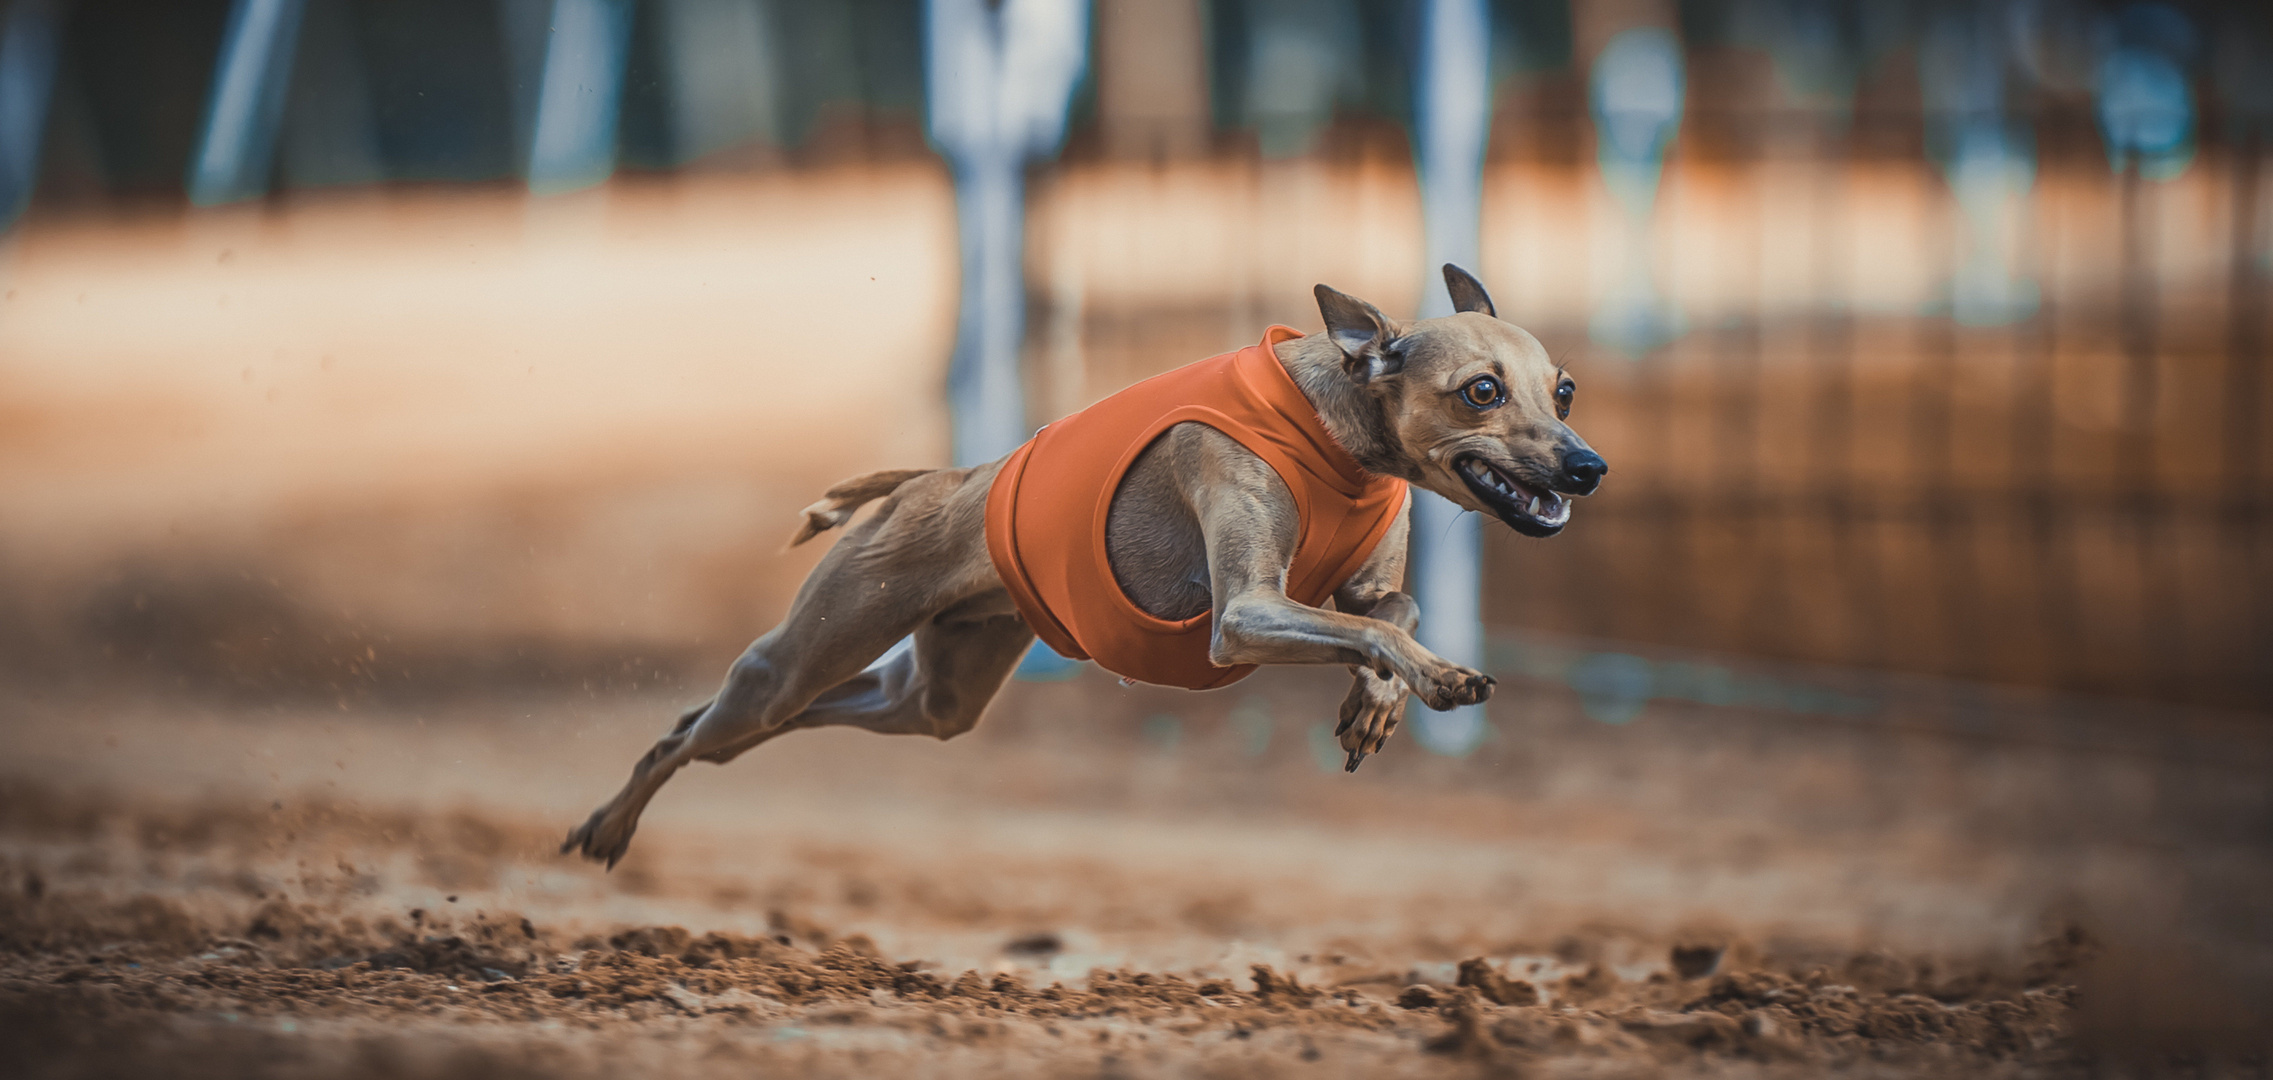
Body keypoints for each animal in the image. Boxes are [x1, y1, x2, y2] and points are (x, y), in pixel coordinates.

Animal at [565, 268, 1600, 873]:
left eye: (1562, 389)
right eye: (1480, 391)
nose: (1588, 467)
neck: (1336, 430)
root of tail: (927, 481)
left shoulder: (1355, 590)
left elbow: (1395, 611)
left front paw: (1381, 699)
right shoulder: (1246, 614)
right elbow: (1370, 625)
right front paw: (1433, 681)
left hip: (931, 699)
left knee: (763, 721)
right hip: (799, 659)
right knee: (689, 729)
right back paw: (605, 827)